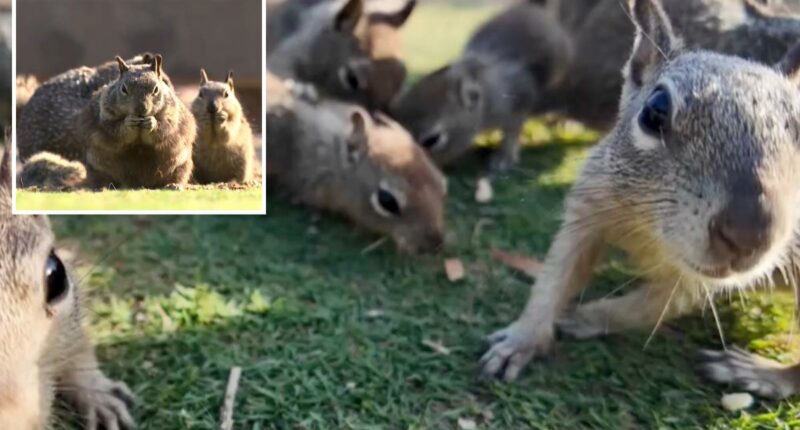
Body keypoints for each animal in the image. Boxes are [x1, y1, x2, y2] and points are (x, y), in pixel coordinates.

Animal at [480, 0, 800, 399]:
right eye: (655, 111)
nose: (750, 234)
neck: (650, 228)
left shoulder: (696, 281)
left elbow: (646, 307)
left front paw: (585, 316)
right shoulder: (588, 209)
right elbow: (556, 276)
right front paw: (521, 339)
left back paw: (759, 373)